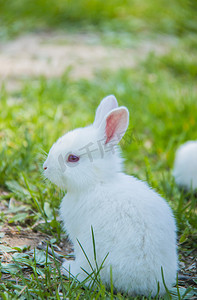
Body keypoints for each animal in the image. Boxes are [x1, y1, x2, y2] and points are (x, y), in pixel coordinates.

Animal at [42, 95, 177, 296]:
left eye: (73, 158)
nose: (45, 167)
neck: (98, 183)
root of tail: (150, 285)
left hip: (90, 251)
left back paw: (68, 268)